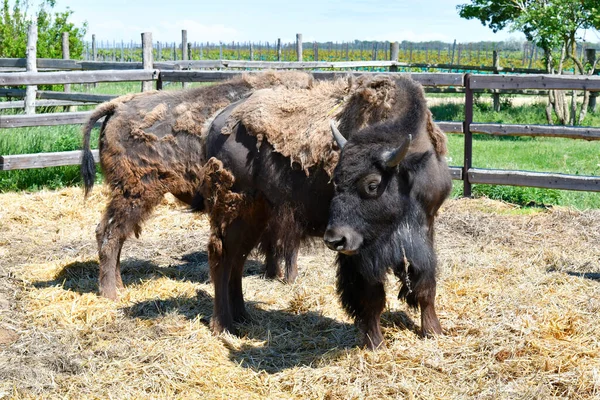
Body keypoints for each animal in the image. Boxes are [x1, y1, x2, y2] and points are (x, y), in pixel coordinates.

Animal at [80, 70, 312, 298]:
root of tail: (117, 106)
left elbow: (273, 242)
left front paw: (275, 274)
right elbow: (287, 244)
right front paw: (290, 278)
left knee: (113, 235)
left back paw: (119, 287)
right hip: (135, 194)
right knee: (109, 234)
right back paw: (110, 293)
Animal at [202, 73, 450, 348]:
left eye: (372, 184)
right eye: (335, 181)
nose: (334, 239)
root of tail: (216, 123)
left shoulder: (425, 229)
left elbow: (426, 285)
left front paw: (434, 332)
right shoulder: (360, 252)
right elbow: (372, 296)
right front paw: (375, 343)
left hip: (256, 217)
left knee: (237, 260)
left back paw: (242, 316)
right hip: (232, 212)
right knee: (221, 258)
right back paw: (223, 325)